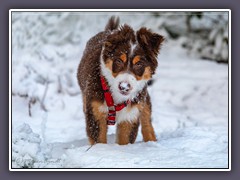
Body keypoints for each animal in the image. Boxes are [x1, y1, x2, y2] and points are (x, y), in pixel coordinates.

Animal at [78, 16, 164, 146]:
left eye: (139, 64)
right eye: (118, 61)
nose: (124, 86)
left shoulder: (131, 114)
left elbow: (125, 140)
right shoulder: (95, 111)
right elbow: (99, 140)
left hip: (142, 98)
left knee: (147, 119)